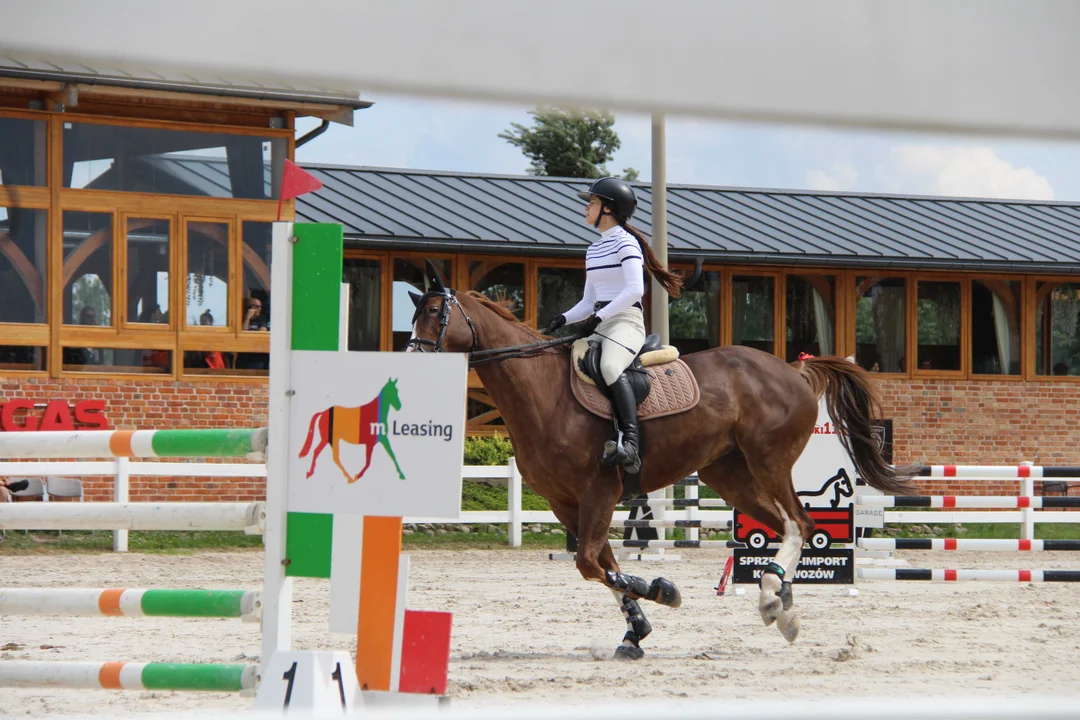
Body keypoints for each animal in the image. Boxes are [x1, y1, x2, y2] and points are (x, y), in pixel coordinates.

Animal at [406, 263, 911, 660]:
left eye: (433, 313)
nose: (411, 361)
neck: (542, 392)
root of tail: (794, 371)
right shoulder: (565, 504)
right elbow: (601, 564)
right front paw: (636, 631)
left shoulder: (600, 492)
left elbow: (591, 564)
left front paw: (663, 592)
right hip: (729, 475)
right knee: (785, 526)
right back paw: (779, 601)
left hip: (769, 461)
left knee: (799, 524)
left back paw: (774, 601)